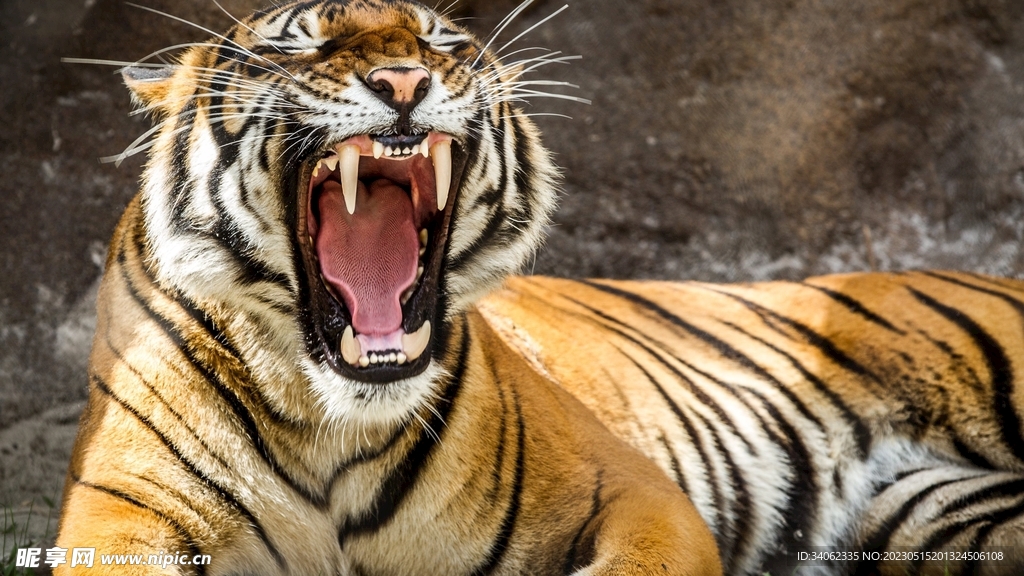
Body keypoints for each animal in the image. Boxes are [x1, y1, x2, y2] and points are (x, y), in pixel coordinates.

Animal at [53, 0, 1024, 575]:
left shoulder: (640, 495)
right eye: (305, 41)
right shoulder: (122, 516)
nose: (405, 79)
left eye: (441, 41)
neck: (328, 416)